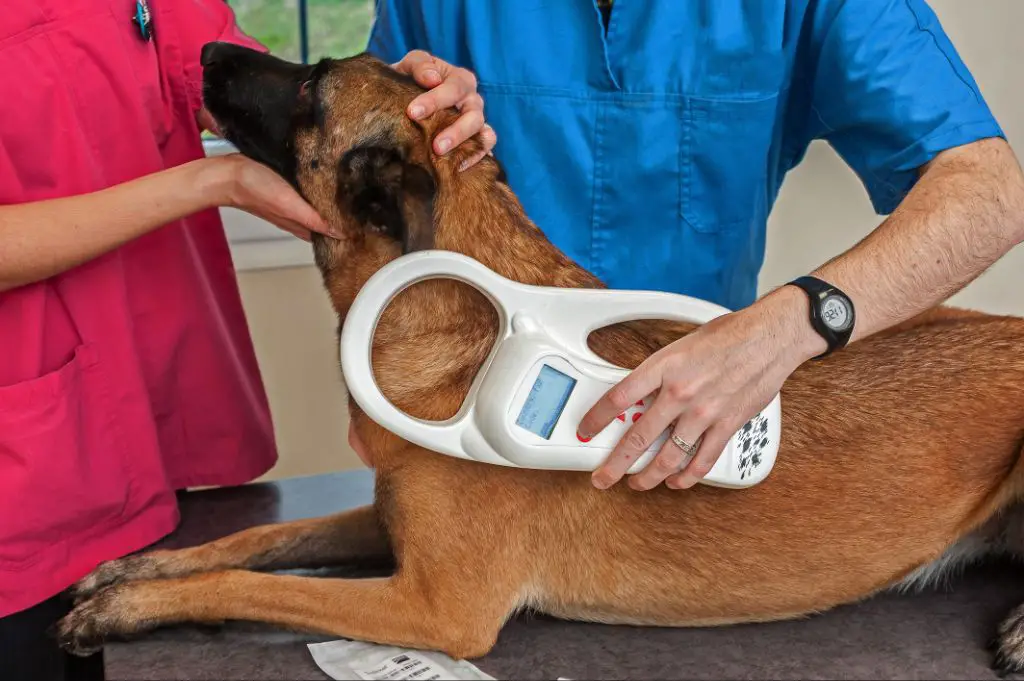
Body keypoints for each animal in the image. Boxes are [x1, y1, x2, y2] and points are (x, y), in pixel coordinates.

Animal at [58, 43, 1024, 675]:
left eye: (311, 86)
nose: (206, 47)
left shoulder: (434, 604)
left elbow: (247, 581)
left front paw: (127, 608)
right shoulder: (390, 525)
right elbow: (256, 538)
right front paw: (138, 567)